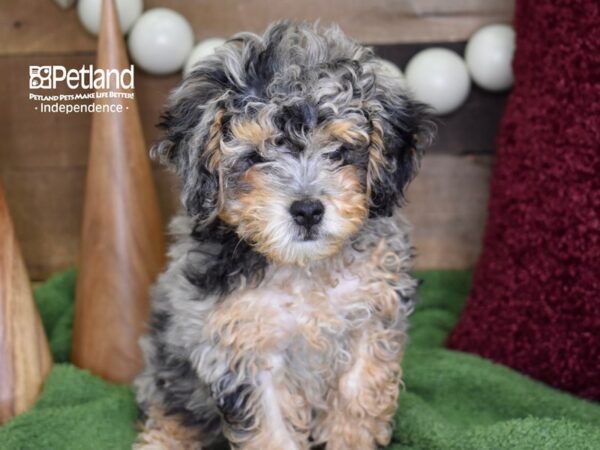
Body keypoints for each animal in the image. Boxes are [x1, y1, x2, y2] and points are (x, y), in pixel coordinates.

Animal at [134, 20, 434, 450]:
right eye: (256, 156)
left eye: (339, 150)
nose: (307, 210)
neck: (303, 270)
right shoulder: (244, 349)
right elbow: (270, 428)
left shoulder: (372, 317)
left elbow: (357, 399)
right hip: (168, 373)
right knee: (171, 415)